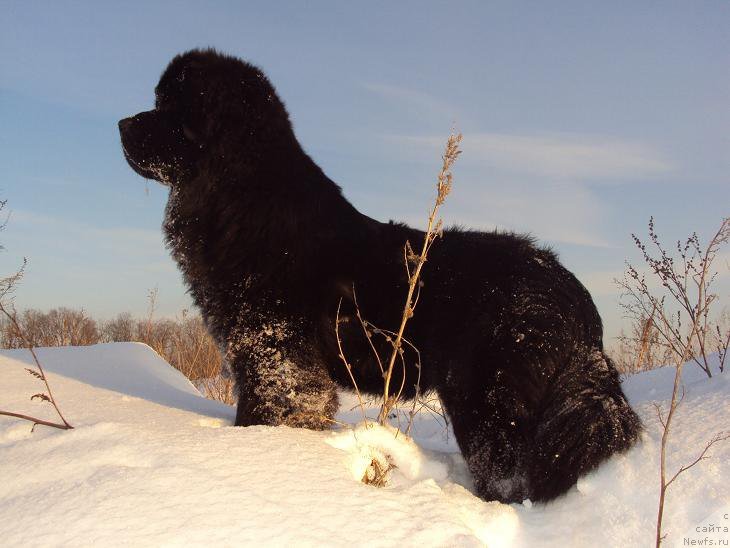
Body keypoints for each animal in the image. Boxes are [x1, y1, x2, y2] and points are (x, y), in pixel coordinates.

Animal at [119, 49, 636, 504]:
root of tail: (573, 293)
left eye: (169, 108)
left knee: (510, 476)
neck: (239, 195)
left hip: (490, 398)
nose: (121, 123)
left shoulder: (274, 352)